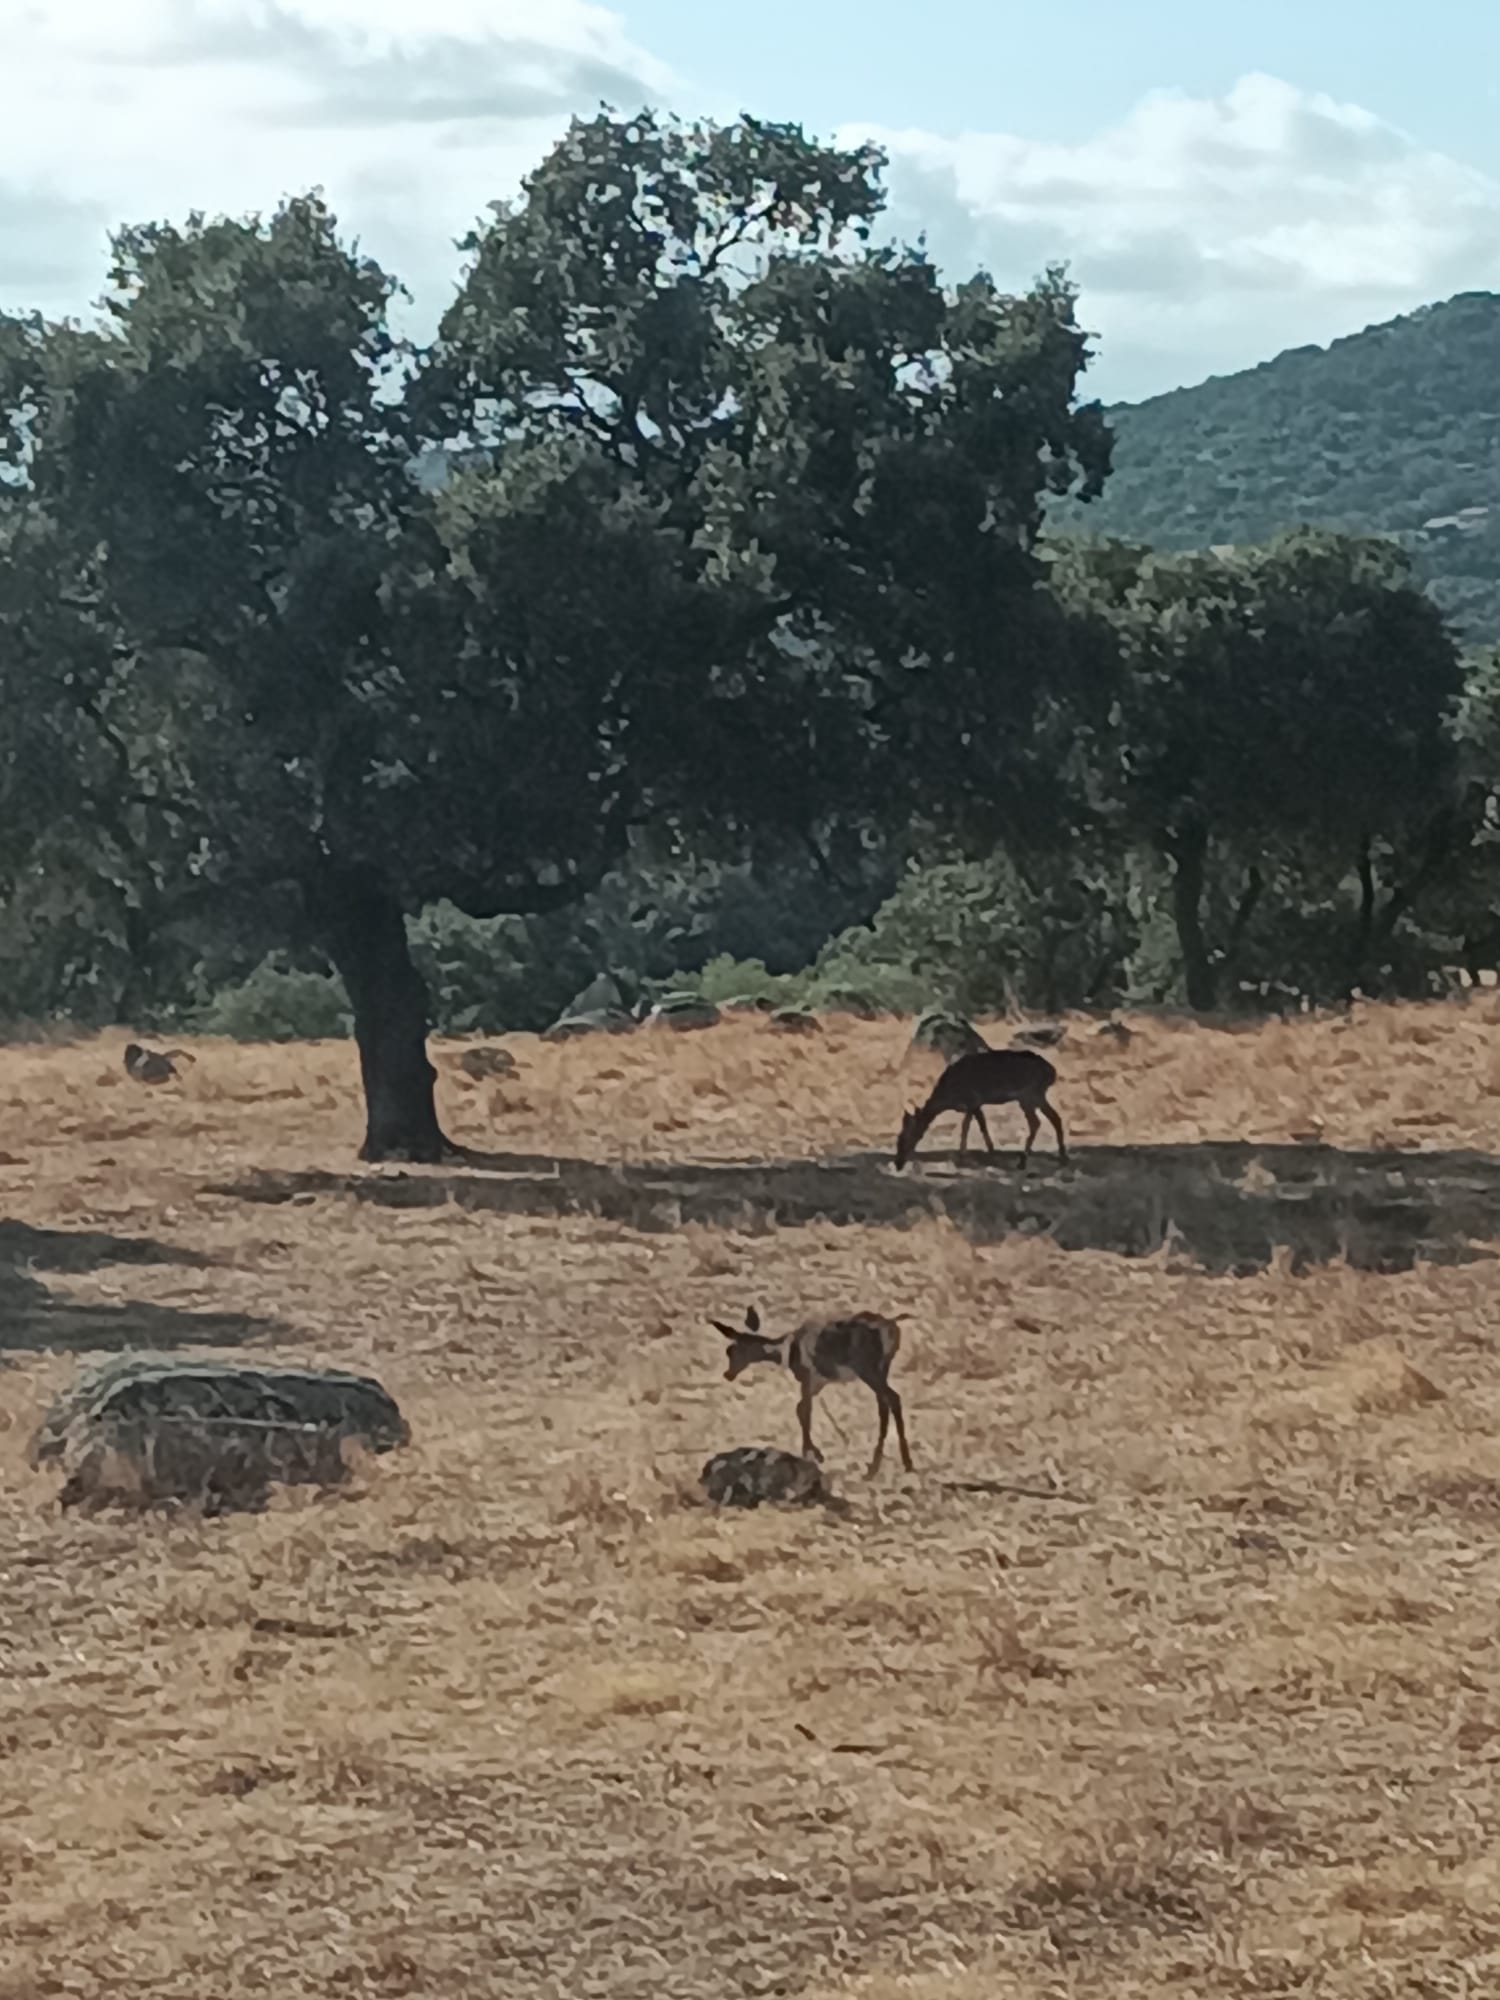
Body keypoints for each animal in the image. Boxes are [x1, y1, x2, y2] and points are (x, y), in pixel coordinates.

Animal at [712, 1304, 916, 1480]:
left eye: (732, 1350)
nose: (728, 1374)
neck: (787, 1351)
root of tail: (890, 1324)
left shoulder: (807, 1379)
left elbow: (803, 1410)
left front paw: (813, 1453)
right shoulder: (818, 1383)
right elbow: (801, 1408)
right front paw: (813, 1452)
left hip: (868, 1370)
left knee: (893, 1398)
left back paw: (902, 1463)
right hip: (882, 1370)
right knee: (884, 1404)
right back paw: (884, 1463)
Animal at [892, 1048, 1072, 1168]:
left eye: (903, 1137)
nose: (898, 1163)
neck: (948, 1096)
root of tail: (1051, 1072)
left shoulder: (972, 1100)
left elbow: (967, 1126)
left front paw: (963, 1156)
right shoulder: (976, 1104)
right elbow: (980, 1124)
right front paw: (991, 1151)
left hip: (1028, 1094)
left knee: (1036, 1122)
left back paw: (1023, 1160)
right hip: (1036, 1096)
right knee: (1055, 1117)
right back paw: (1063, 1157)